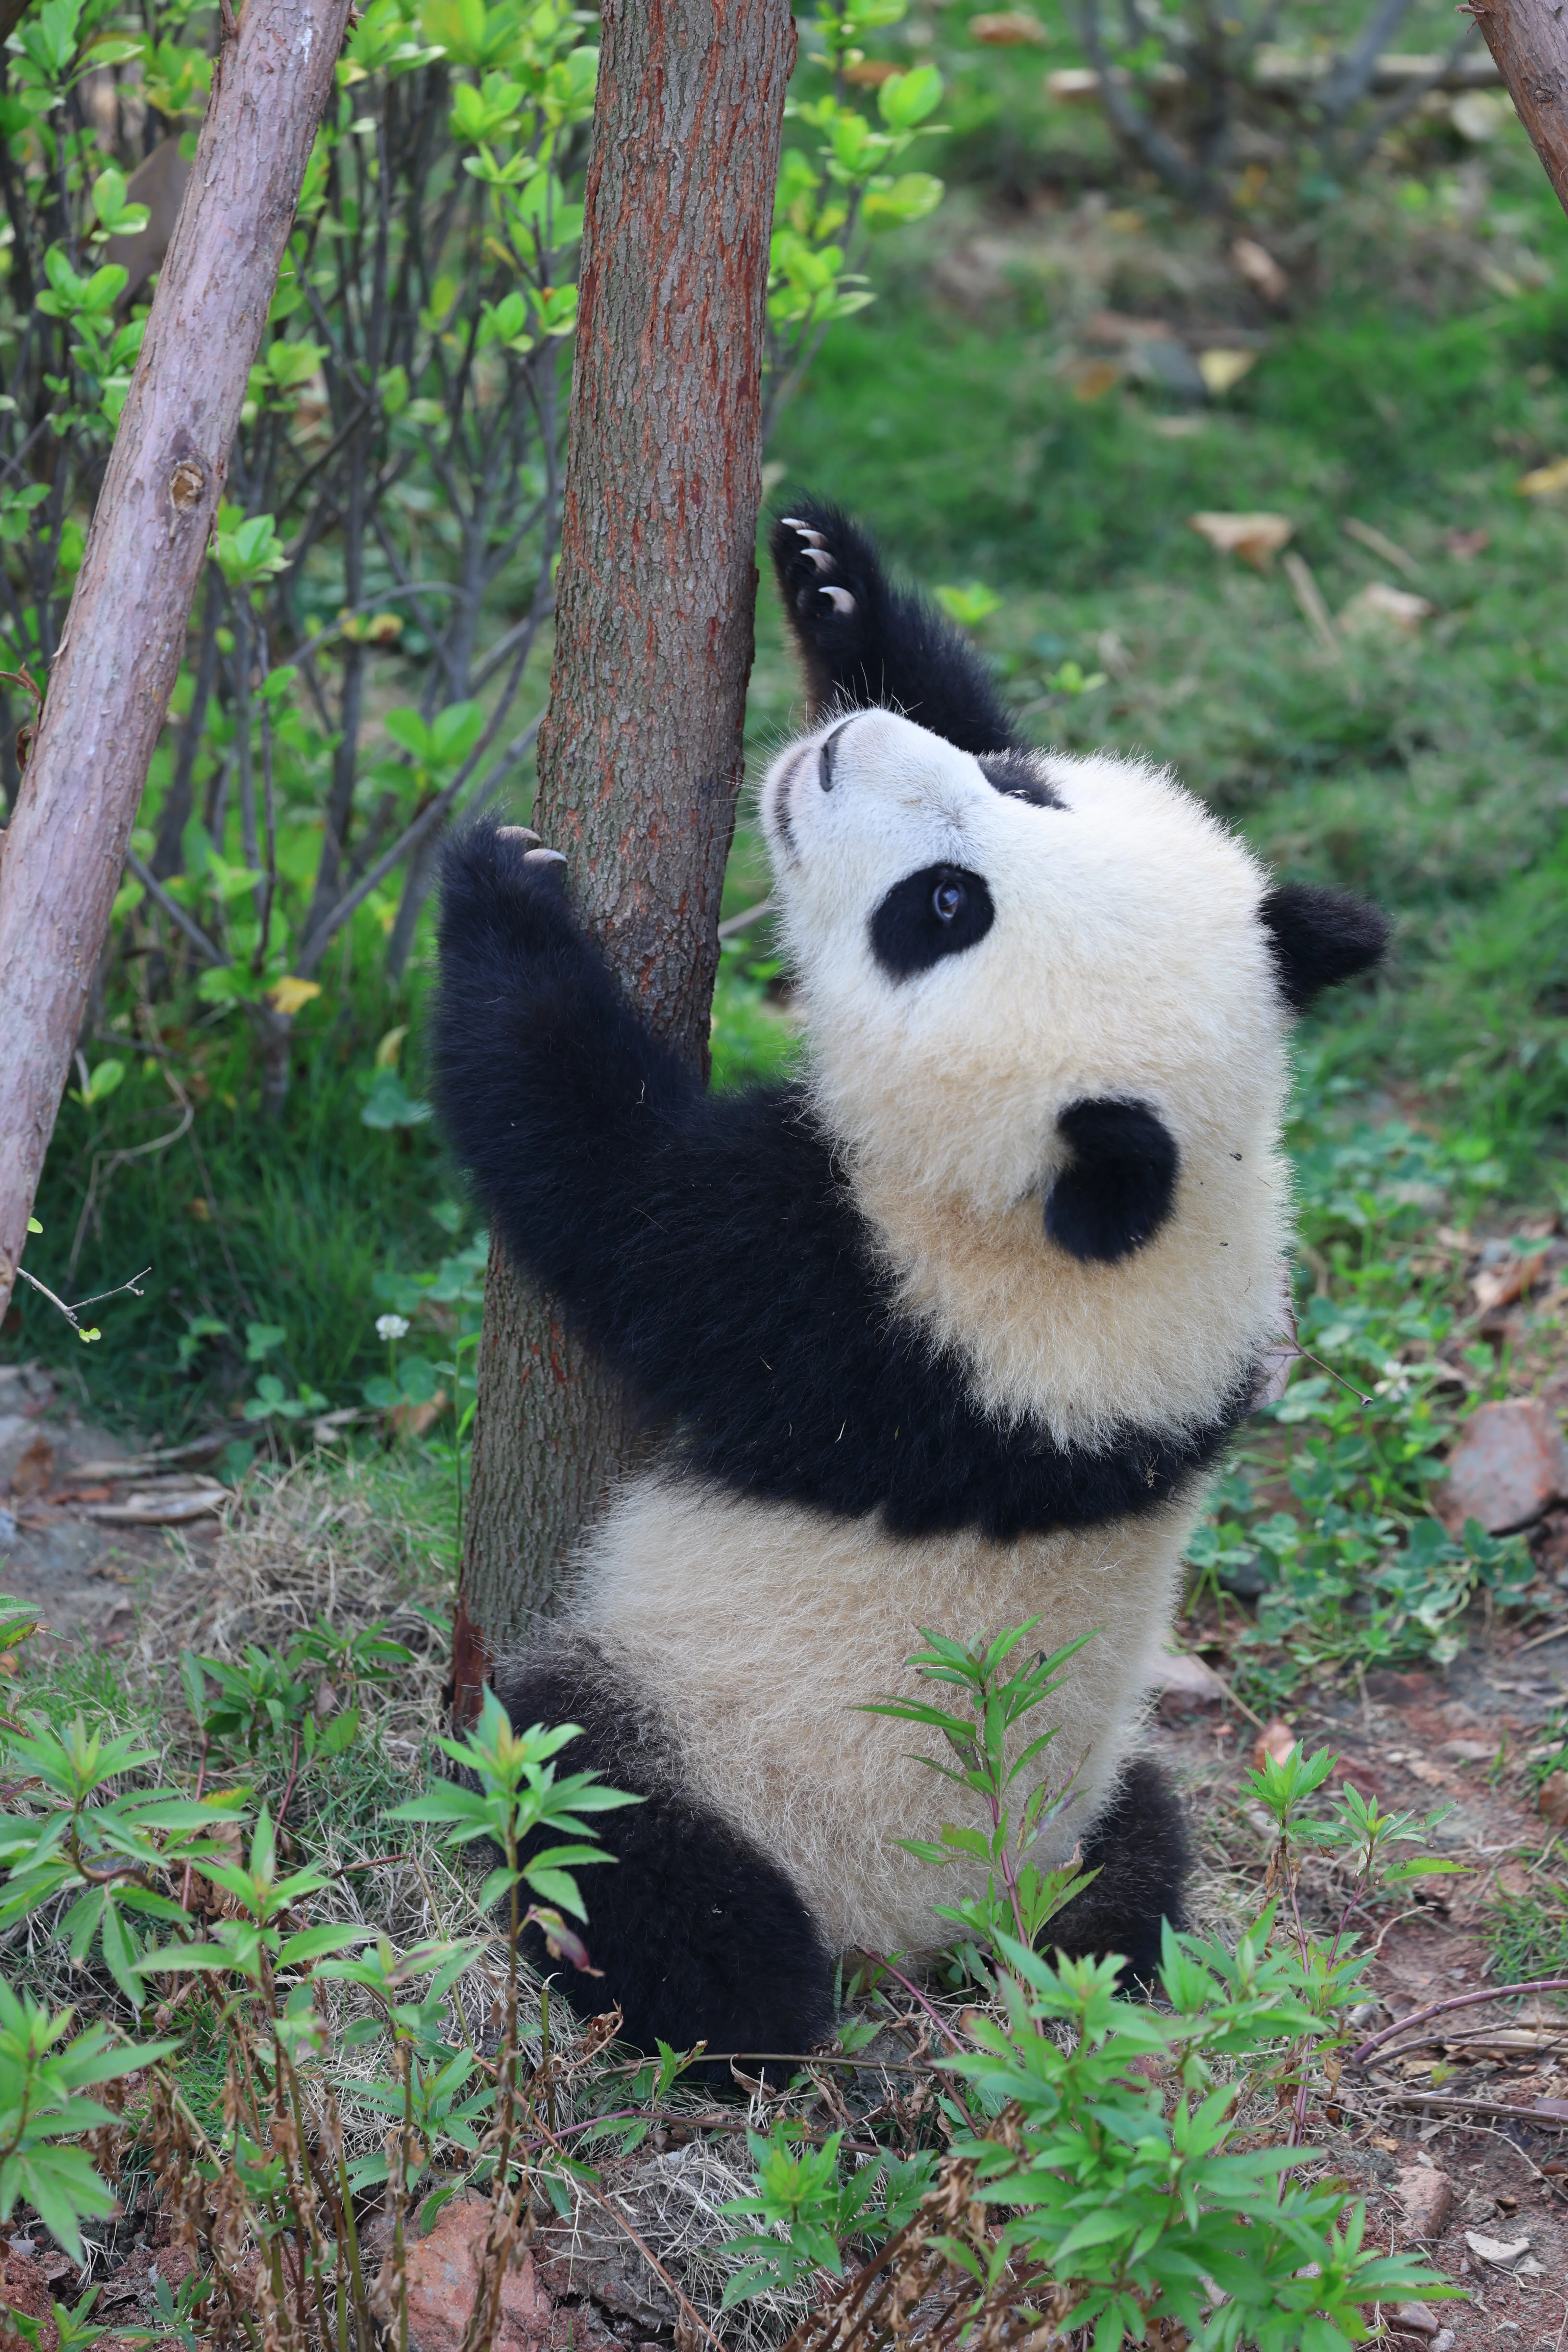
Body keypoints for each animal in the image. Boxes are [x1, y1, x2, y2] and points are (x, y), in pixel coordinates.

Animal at [432, 498, 1386, 2069]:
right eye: (1020, 781)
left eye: (943, 907)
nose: (836, 752)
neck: (1126, 1234)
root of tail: (931, 1934)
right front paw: (830, 577)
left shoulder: (868, 1310)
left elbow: (610, 1193)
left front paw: (501, 889)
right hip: (1092, 1800)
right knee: (1145, 1855)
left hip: (711, 1739)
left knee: (613, 1824)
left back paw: (702, 2006)